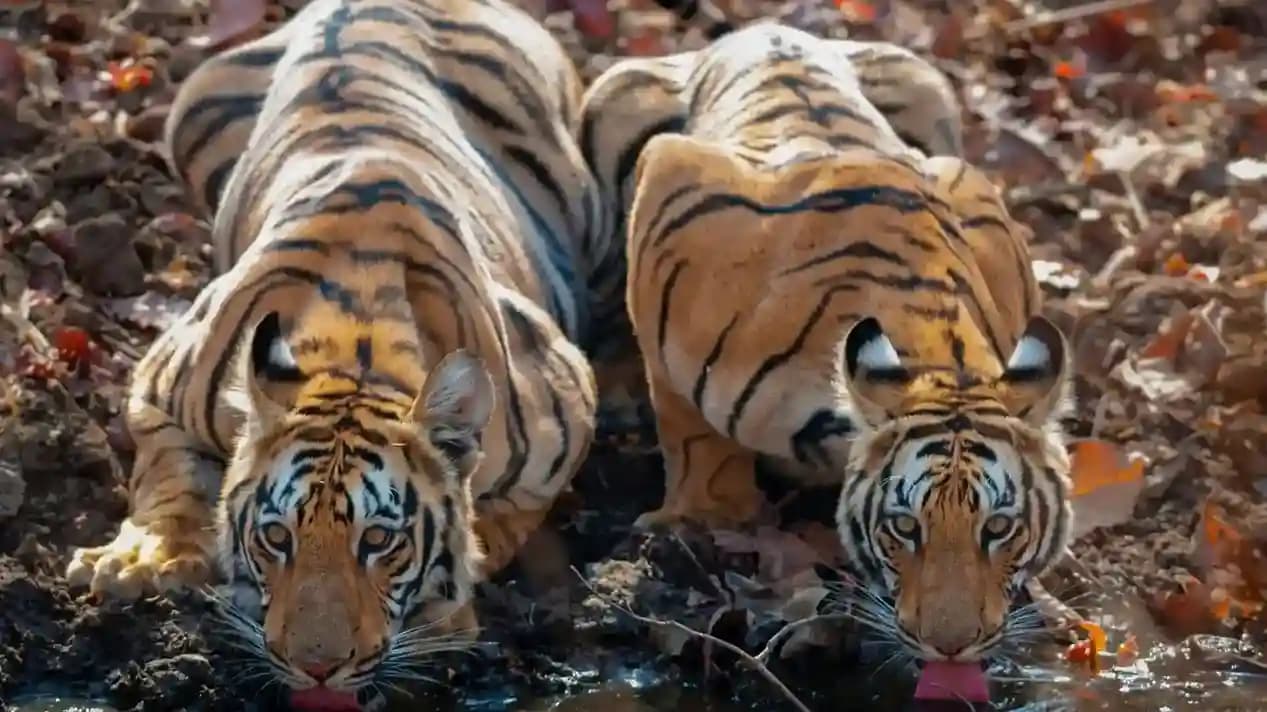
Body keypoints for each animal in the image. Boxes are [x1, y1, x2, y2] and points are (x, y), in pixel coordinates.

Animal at [66, 0, 599, 700]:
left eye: (378, 540)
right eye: (276, 536)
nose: (317, 668)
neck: (358, 350)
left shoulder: (566, 406)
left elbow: (496, 521)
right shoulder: (160, 383)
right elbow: (168, 473)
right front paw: (140, 560)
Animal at [578, 22, 1075, 663]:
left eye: (999, 527)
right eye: (905, 526)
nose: (951, 646)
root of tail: (762, 30)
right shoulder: (674, 184)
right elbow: (688, 426)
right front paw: (706, 516)